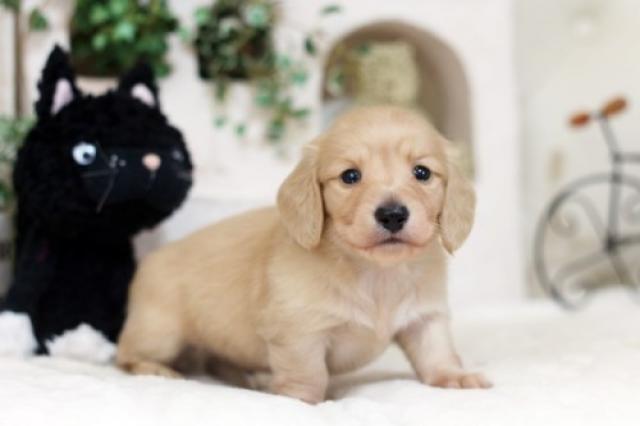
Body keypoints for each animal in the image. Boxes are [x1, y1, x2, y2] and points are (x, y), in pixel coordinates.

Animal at [117, 106, 490, 403]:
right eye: (350, 176)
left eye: (422, 172)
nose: (393, 214)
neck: (375, 274)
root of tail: (152, 258)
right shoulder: (299, 332)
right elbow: (308, 375)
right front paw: (303, 401)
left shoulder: (425, 318)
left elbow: (437, 353)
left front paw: (454, 377)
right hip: (160, 333)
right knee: (124, 356)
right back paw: (156, 369)